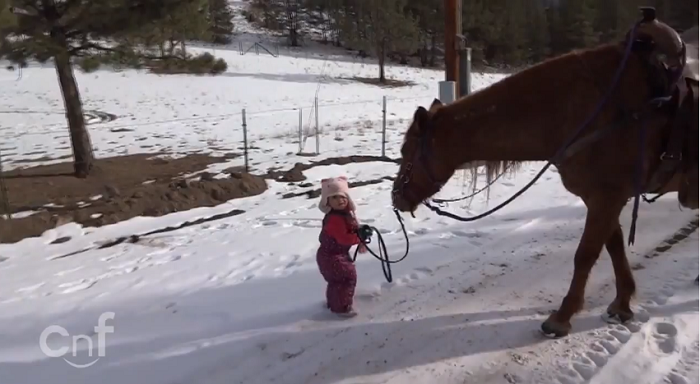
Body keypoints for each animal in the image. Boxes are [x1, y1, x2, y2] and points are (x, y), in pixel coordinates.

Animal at [392, 15, 696, 340]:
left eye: (406, 151)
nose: (396, 197)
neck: (586, 109)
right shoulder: (601, 198)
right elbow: (613, 247)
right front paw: (622, 304)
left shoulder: (608, 196)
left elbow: (585, 254)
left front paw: (561, 317)